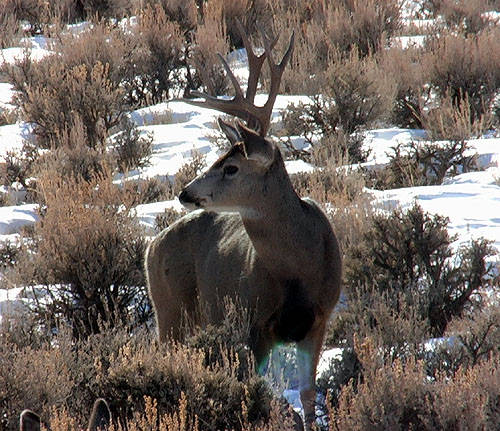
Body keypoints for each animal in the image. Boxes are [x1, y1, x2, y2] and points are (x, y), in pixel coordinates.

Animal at [144, 22, 340, 430]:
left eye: (231, 167)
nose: (185, 192)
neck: (299, 268)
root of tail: (150, 246)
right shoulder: (253, 324)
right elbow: (259, 389)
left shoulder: (319, 319)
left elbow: (308, 394)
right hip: (169, 310)